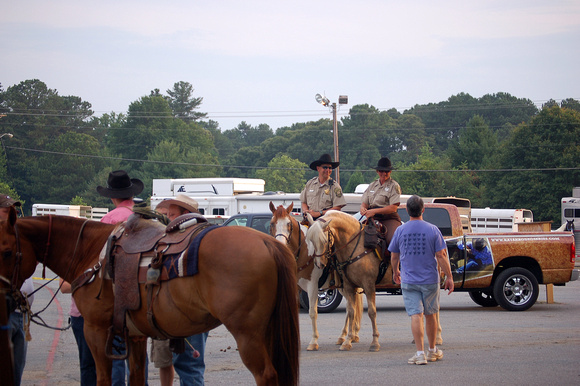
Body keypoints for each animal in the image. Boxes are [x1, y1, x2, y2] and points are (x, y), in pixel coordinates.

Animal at [0, 208, 300, 386]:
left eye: (5, 251)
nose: (6, 298)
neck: (91, 253)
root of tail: (269, 243)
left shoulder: (95, 330)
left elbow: (103, 378)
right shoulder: (134, 335)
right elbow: (136, 376)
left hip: (248, 334)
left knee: (266, 375)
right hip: (268, 330)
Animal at [268, 204, 362, 352]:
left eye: (289, 224)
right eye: (272, 223)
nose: (281, 245)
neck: (303, 253)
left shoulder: (312, 286)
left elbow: (313, 312)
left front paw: (313, 342)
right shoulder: (295, 287)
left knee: (351, 307)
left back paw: (349, 337)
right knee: (350, 307)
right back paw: (344, 337)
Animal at [306, 210, 382, 352]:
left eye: (324, 240)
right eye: (311, 240)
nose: (319, 264)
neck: (357, 246)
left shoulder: (369, 285)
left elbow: (372, 312)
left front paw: (375, 342)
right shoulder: (348, 285)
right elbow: (351, 311)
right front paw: (347, 342)